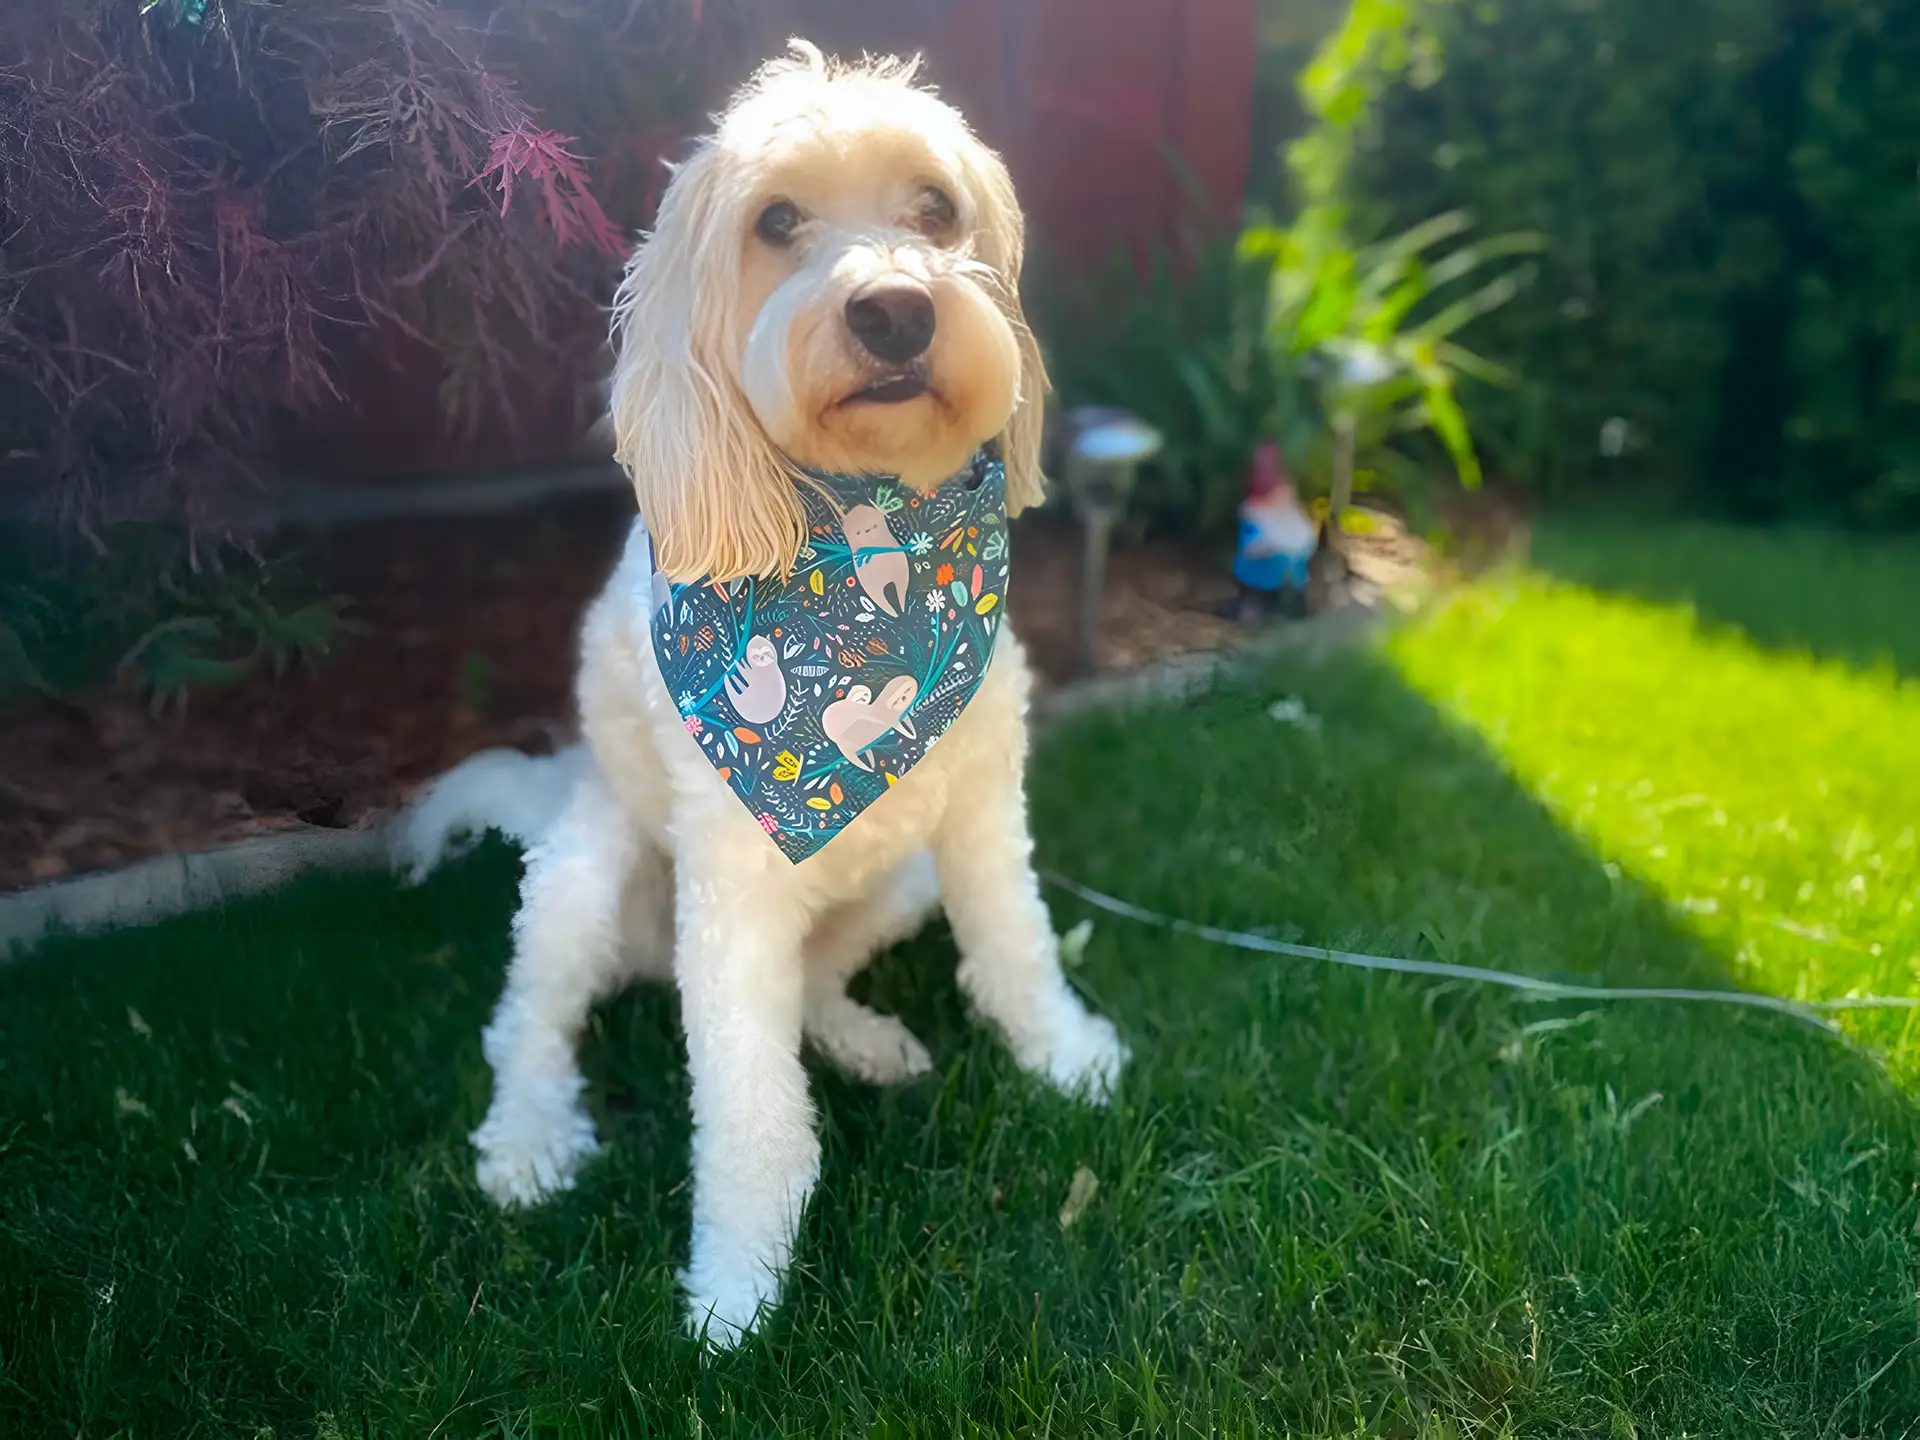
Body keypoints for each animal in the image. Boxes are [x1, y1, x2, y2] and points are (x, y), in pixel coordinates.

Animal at [399, 42, 1128, 1351]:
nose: (894, 309)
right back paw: (529, 1142)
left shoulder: (983, 808)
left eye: (935, 208)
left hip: (899, 875)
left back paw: (865, 1040)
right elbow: (747, 1105)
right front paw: (739, 1282)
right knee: (528, 1025)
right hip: (589, 877)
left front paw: (1062, 1053)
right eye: (776, 221)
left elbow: (1015, 943)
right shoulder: (732, 889)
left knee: (815, 982)